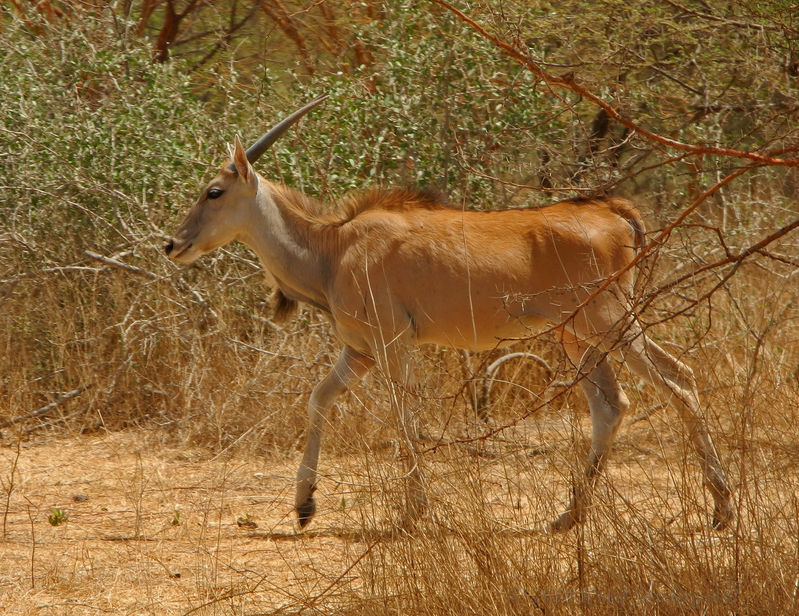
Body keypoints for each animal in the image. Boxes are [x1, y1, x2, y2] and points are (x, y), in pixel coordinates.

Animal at [166, 98, 736, 532]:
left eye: (214, 191)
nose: (173, 244)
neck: (332, 248)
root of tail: (613, 212)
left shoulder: (393, 346)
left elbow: (404, 417)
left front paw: (412, 513)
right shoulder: (360, 352)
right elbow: (319, 399)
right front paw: (305, 504)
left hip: (610, 323)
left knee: (678, 379)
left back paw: (722, 510)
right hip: (578, 337)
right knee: (611, 405)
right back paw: (568, 516)